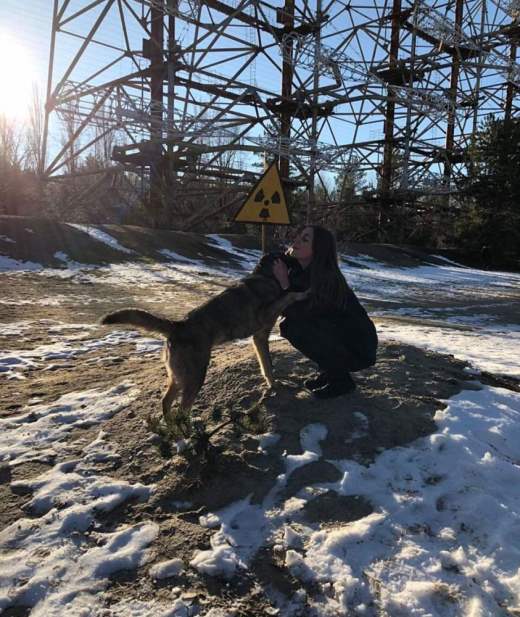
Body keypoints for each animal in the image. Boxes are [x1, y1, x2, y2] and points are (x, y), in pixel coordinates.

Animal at [99, 260, 306, 428]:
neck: (264, 274)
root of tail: (177, 325)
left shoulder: (259, 337)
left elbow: (267, 366)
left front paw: (273, 384)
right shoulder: (264, 320)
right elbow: (288, 296)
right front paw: (301, 293)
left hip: (179, 376)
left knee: (166, 402)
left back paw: (173, 429)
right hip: (195, 376)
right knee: (182, 409)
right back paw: (188, 434)